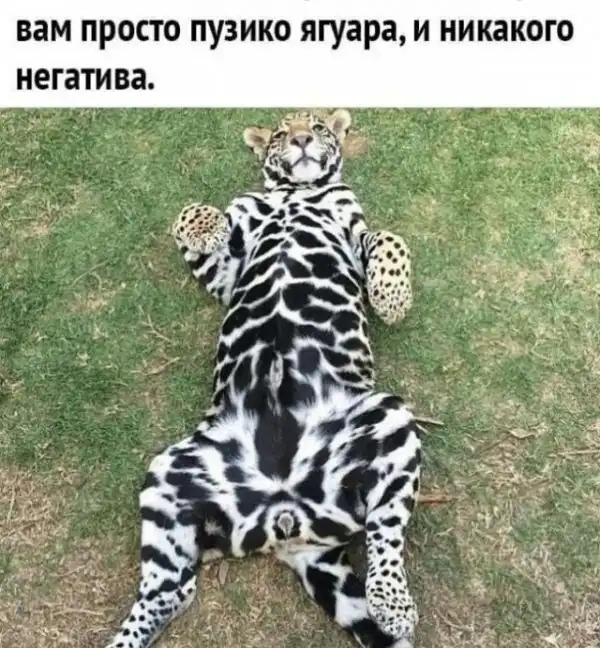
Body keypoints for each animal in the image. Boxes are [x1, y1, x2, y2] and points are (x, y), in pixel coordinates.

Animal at [105, 109, 421, 648]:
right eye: (279, 134)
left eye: (320, 127)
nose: (302, 140)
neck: (296, 193)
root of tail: (288, 522)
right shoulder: (229, 268)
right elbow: (192, 215)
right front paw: (207, 226)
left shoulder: (354, 229)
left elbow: (388, 238)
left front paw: (393, 297)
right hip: (168, 479)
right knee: (170, 591)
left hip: (390, 418)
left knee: (386, 531)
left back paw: (393, 604)